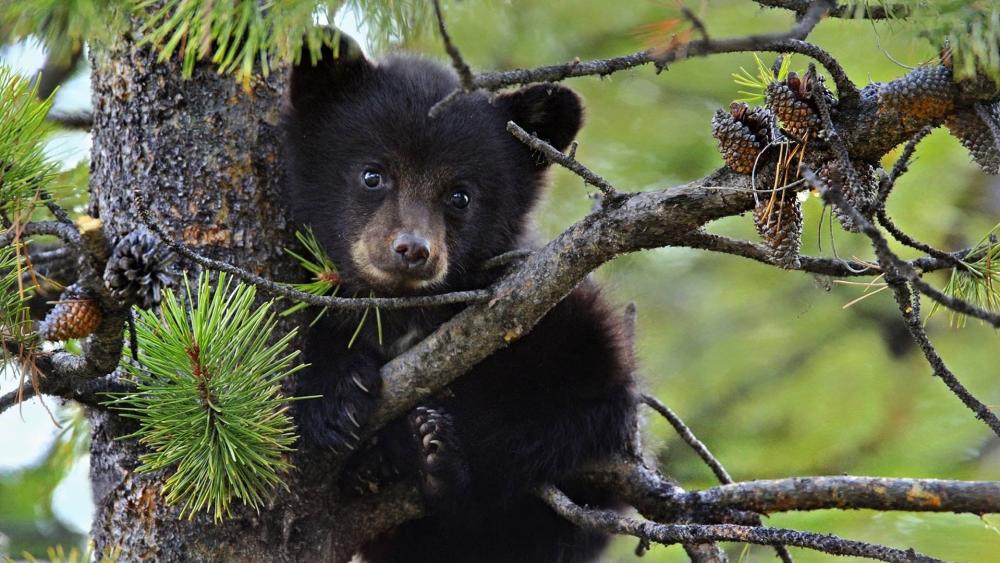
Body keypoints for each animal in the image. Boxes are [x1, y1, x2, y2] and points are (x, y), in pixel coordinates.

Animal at [286, 30, 636, 563]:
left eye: (460, 195)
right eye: (372, 174)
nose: (413, 250)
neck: (406, 312)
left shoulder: (554, 306)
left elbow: (579, 394)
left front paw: (413, 446)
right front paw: (334, 393)